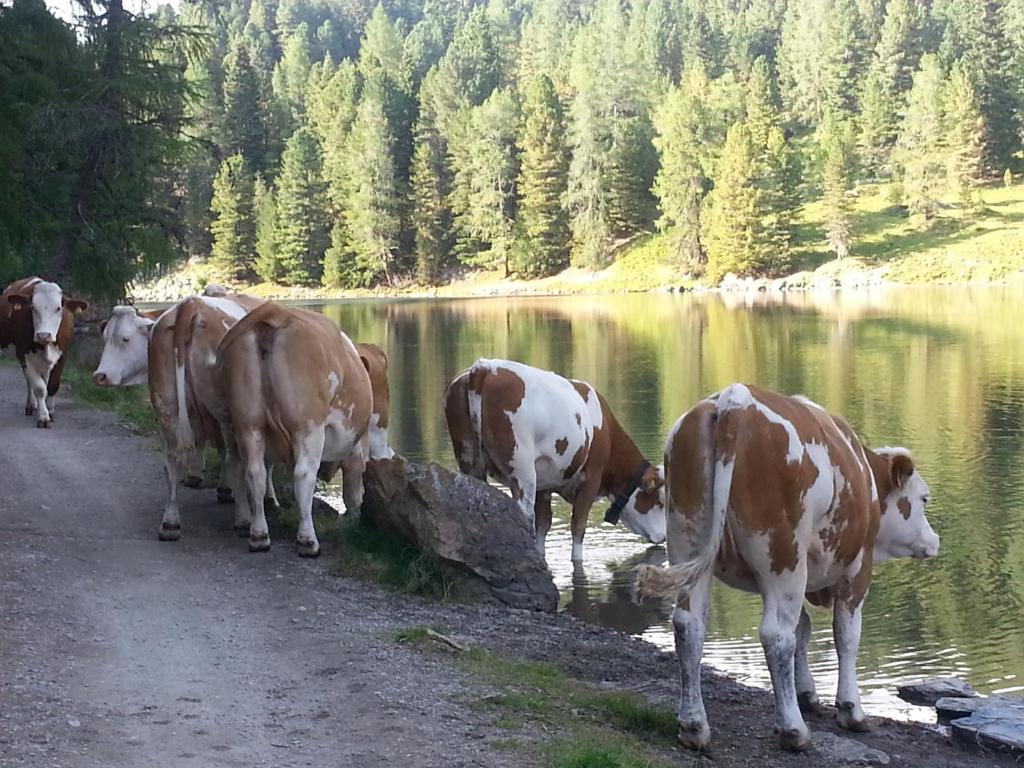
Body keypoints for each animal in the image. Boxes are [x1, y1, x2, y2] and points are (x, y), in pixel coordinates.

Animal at [0, 280, 88, 430]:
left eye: (58, 308)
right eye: (33, 307)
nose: (43, 335)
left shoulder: (63, 356)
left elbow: (52, 386)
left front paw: (50, 410)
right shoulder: (25, 355)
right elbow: (40, 388)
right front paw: (43, 416)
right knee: (30, 381)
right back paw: (31, 405)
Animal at [218, 303, 374, 561]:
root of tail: (274, 315)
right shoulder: (357, 446)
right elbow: (353, 492)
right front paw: (353, 524)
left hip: (248, 422)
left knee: (254, 472)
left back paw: (259, 536)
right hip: (308, 424)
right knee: (303, 476)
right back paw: (308, 541)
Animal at [444, 358, 667, 561]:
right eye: (660, 501)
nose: (664, 538)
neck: (608, 432)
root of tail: (484, 367)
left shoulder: (544, 486)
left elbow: (544, 525)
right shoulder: (591, 478)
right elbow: (578, 526)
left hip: (469, 459)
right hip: (522, 470)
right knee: (523, 513)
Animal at [634, 385, 937, 753]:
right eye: (924, 499)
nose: (934, 540)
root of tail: (735, 401)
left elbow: (803, 630)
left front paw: (807, 694)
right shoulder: (857, 568)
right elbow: (846, 636)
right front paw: (851, 710)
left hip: (686, 539)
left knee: (689, 625)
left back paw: (694, 727)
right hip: (783, 555)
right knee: (776, 635)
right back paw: (794, 730)